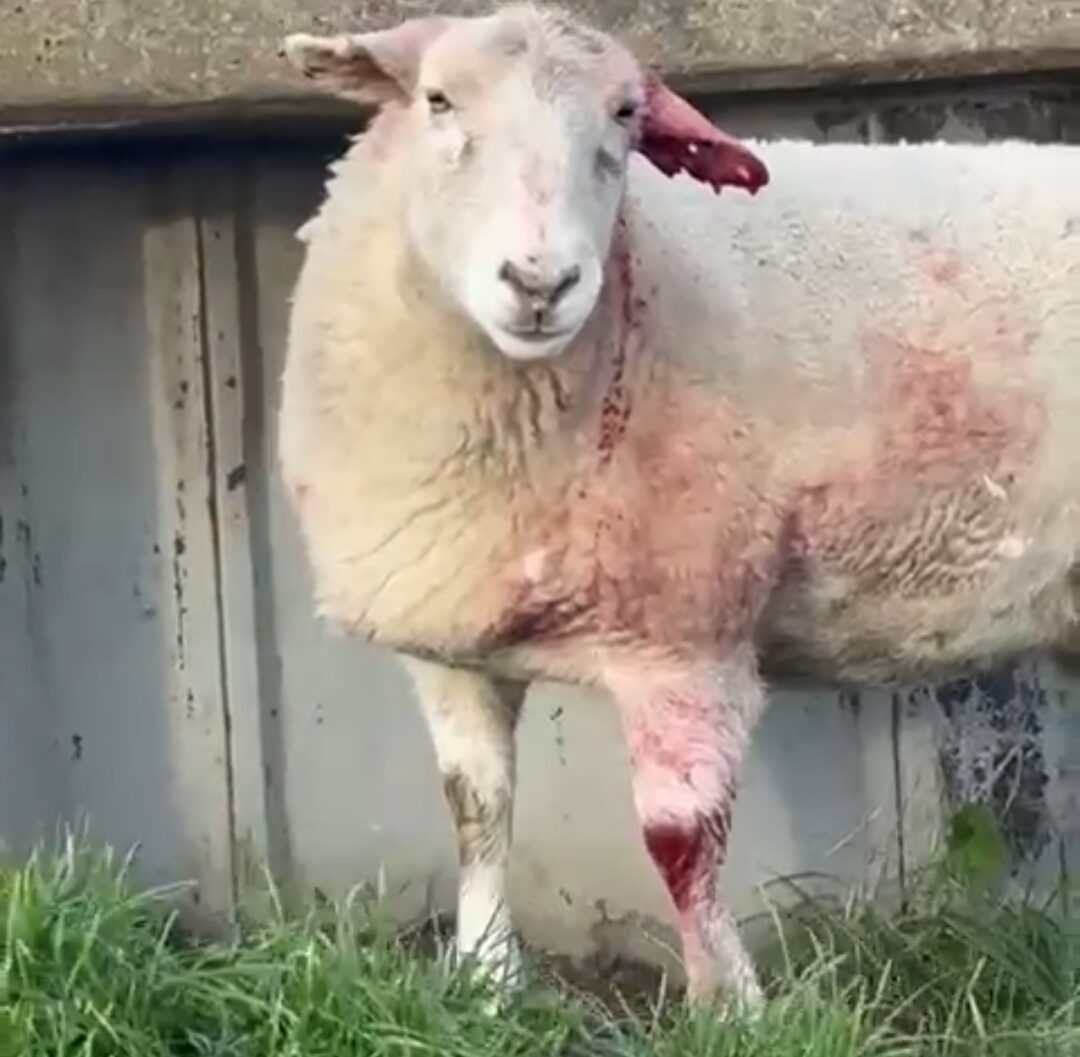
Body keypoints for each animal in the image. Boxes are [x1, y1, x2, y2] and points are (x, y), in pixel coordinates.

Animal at [278, 2, 1080, 1014]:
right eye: (437, 100)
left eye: (625, 116)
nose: (540, 283)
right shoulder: (449, 637)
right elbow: (475, 807)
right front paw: (487, 979)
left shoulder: (685, 631)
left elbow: (681, 839)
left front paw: (728, 1005)